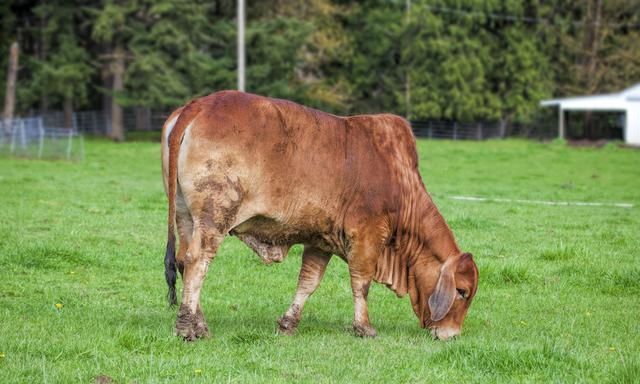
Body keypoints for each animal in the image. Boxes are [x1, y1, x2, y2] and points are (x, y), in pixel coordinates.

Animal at [162, 91, 478, 340]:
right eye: (462, 291)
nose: (452, 335)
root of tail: (199, 105)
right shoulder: (368, 235)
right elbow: (361, 282)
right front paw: (364, 327)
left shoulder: (321, 240)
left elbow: (309, 282)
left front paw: (288, 323)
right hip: (214, 215)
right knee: (197, 261)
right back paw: (187, 327)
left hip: (185, 215)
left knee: (182, 260)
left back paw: (199, 323)